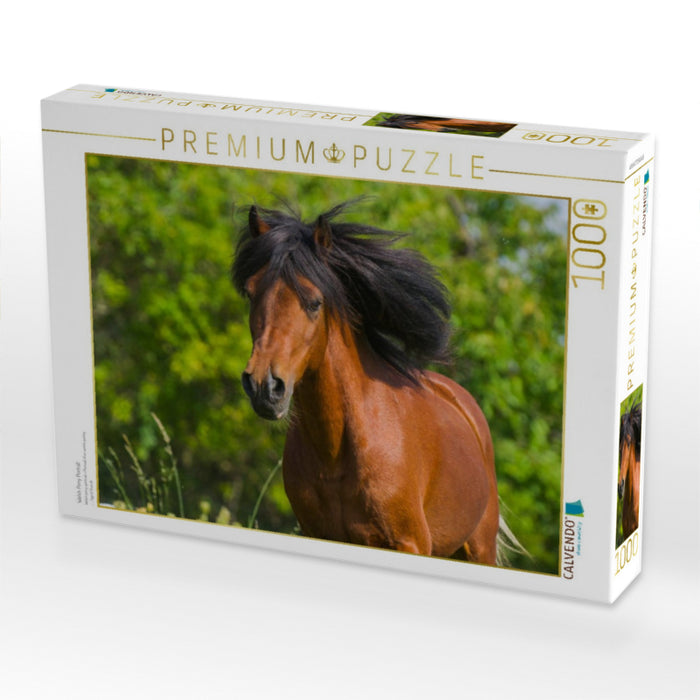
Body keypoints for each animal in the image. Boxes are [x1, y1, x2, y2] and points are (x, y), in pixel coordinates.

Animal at [232, 203, 501, 564]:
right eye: (250, 294)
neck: (336, 454)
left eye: (314, 302)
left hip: (479, 549)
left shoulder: (409, 542)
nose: (264, 386)